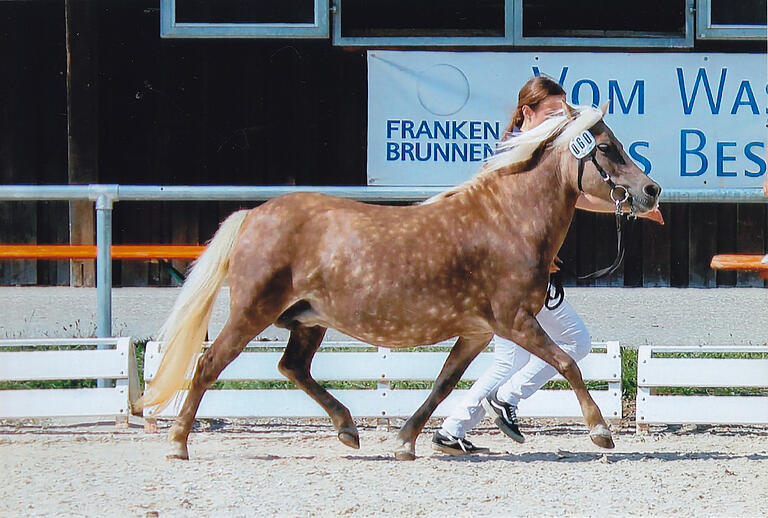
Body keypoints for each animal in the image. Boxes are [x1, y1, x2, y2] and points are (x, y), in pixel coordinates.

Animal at [142, 102, 660, 464]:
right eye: (607, 148)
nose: (651, 191)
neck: (507, 221)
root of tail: (253, 215)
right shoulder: (515, 320)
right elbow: (566, 363)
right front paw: (600, 432)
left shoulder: (477, 331)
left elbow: (444, 384)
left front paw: (406, 442)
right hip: (253, 311)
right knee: (208, 364)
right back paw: (177, 443)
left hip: (309, 320)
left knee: (292, 367)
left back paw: (348, 429)